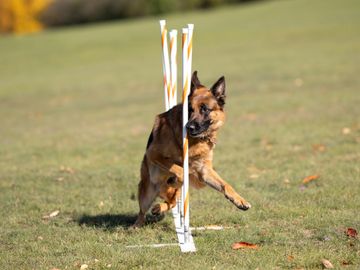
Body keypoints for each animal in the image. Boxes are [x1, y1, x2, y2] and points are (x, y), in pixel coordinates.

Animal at [134, 70, 250, 227]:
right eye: (189, 109)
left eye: (205, 109)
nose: (189, 127)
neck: (197, 141)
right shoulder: (154, 154)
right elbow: (181, 171)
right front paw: (177, 177)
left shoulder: (204, 170)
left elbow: (225, 185)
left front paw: (240, 200)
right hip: (146, 193)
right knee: (143, 211)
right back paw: (137, 225)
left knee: (171, 202)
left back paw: (159, 207)